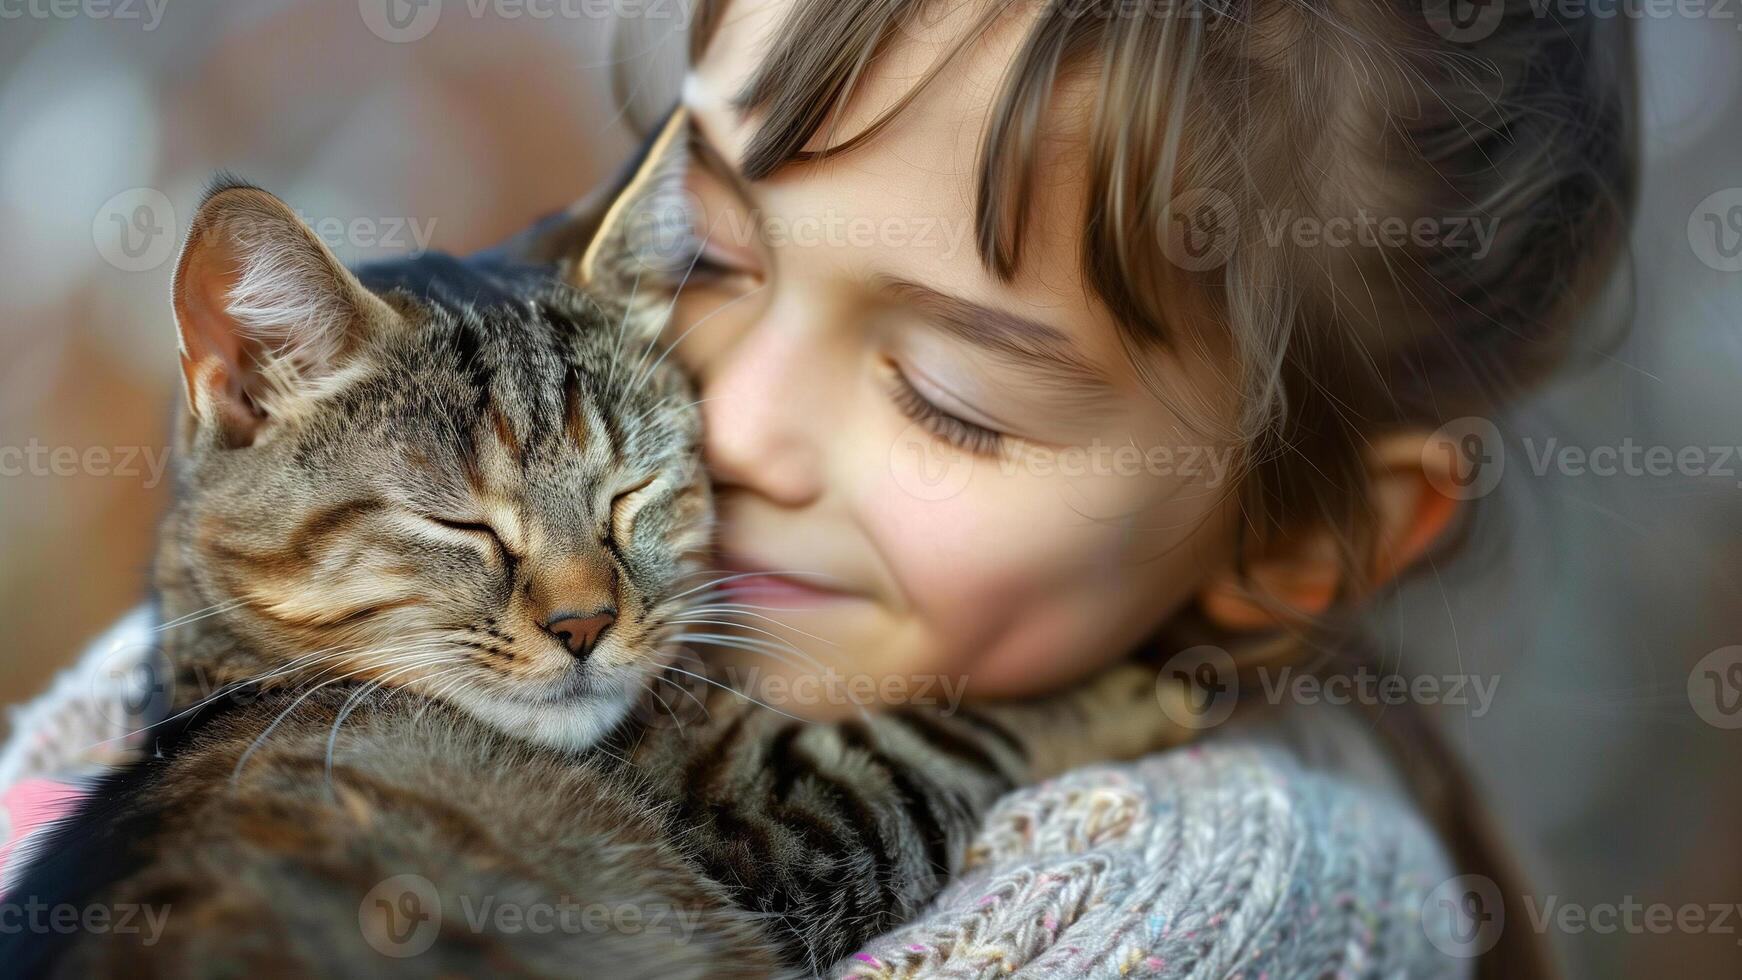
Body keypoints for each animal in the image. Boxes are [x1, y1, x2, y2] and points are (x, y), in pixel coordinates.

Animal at [0, 154, 1184, 980]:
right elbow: (944, 724)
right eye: (463, 525)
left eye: (631, 491)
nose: (584, 622)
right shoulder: (787, 836)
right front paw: (1143, 681)